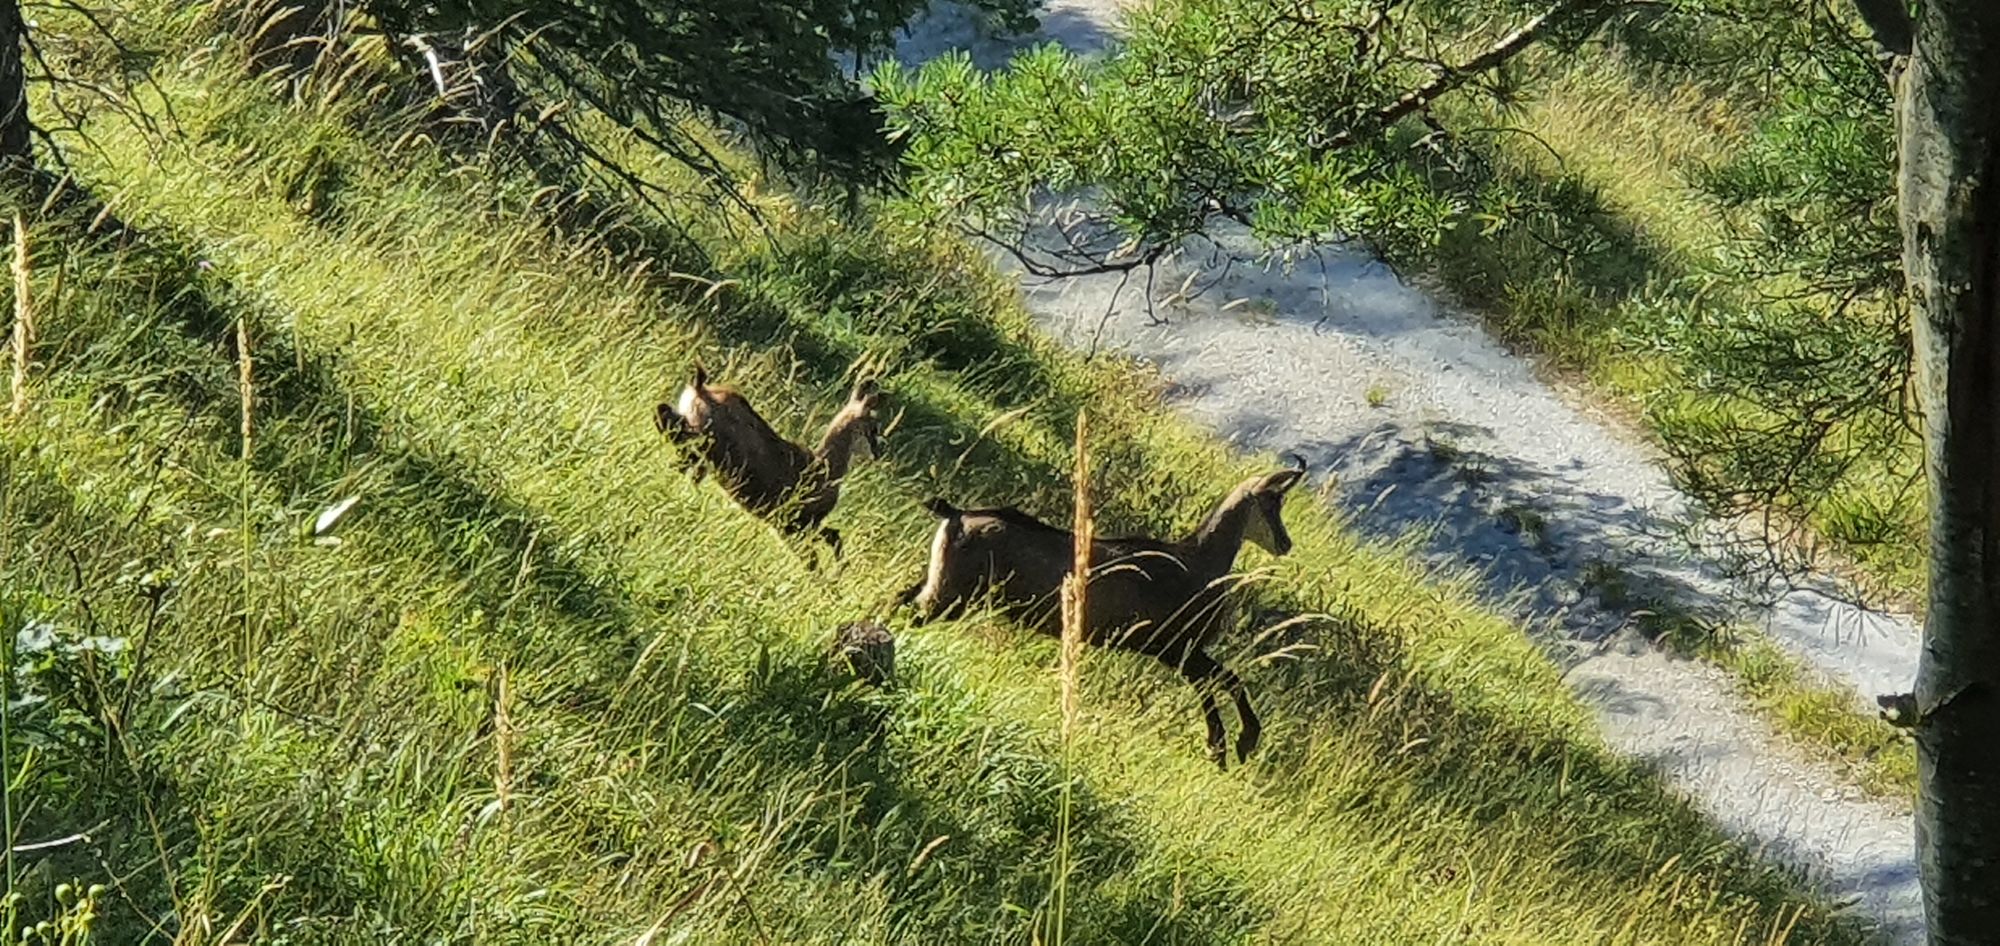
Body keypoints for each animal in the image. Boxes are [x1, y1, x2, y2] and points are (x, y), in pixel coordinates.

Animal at [655, 364, 885, 564]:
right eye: (874, 428)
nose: (878, 453)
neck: (826, 468)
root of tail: (701, 388)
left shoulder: (800, 524)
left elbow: (832, 538)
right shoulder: (793, 524)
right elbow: (817, 555)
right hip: (706, 445)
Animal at [896, 456, 1308, 768]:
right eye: (1273, 503)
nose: (1286, 543)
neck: (1200, 563)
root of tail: (957, 515)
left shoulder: (1175, 651)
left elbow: (1219, 682)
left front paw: (1224, 747)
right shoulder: (1176, 648)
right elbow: (1224, 680)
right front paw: (1234, 743)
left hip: (939, 584)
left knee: (899, 600)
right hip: (951, 596)